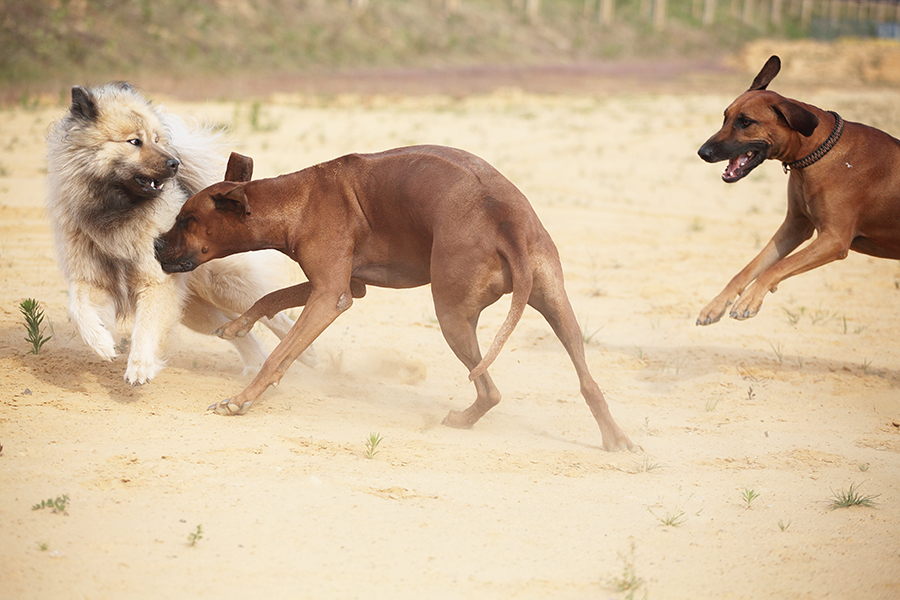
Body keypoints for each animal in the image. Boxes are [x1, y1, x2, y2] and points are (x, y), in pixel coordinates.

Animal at [155, 146, 632, 450]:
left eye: (186, 218)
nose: (156, 246)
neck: (298, 199)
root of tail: (506, 220)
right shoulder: (347, 286)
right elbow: (269, 298)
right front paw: (238, 325)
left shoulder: (331, 296)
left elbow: (278, 356)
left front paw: (241, 401)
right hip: (557, 304)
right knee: (586, 380)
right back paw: (615, 438)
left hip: (451, 314)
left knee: (490, 389)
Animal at [696, 55, 900, 326]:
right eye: (725, 117)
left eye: (746, 122)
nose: (703, 152)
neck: (814, 153)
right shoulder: (795, 226)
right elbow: (751, 267)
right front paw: (716, 305)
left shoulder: (834, 239)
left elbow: (777, 267)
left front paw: (750, 299)